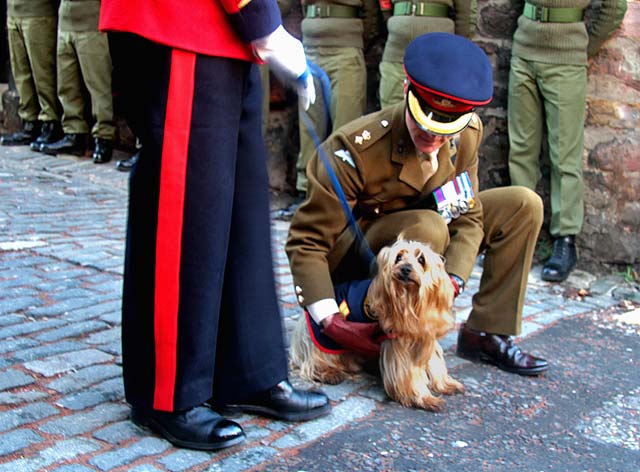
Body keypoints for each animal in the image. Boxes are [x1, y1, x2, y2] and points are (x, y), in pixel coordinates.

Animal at [292, 240, 464, 410]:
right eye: (398, 258)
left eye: (421, 259)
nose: (405, 269)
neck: (410, 300)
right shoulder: (398, 344)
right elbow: (409, 374)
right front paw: (424, 398)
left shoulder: (426, 335)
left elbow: (435, 362)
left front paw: (445, 384)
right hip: (324, 339)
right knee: (314, 360)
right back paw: (329, 372)